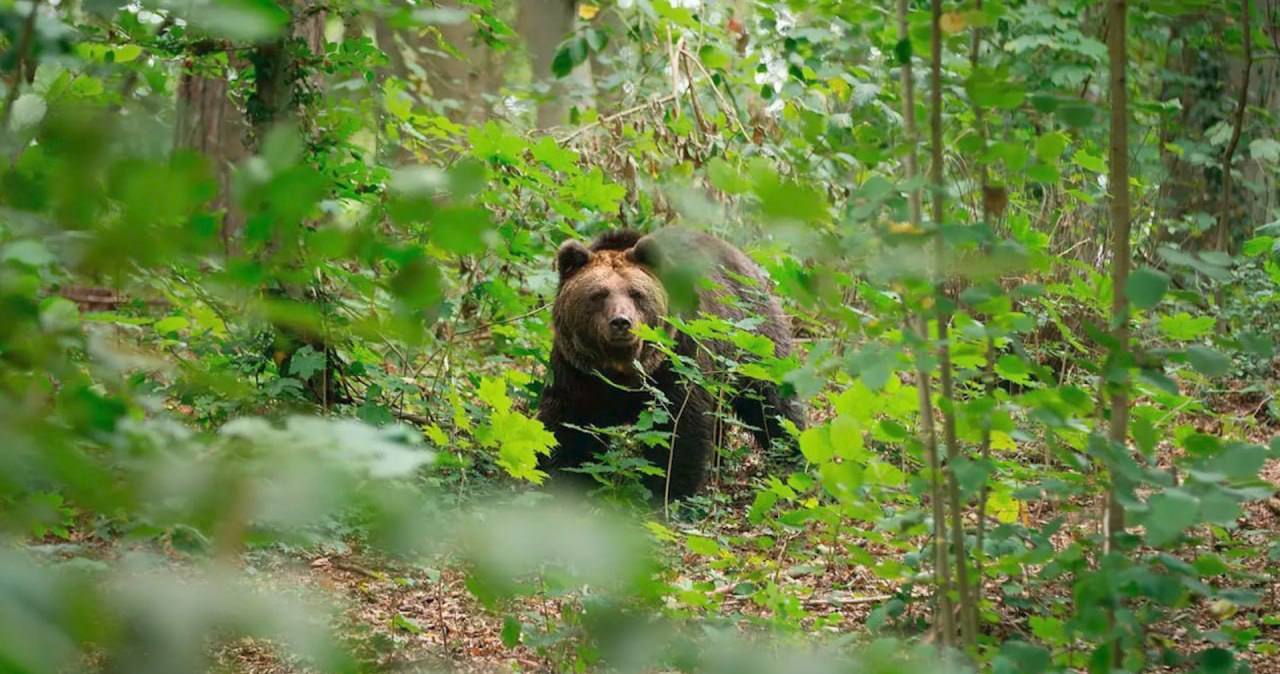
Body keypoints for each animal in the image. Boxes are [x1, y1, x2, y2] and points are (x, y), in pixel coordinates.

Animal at [535, 228, 805, 502]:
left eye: (636, 293)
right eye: (598, 294)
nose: (621, 322)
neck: (621, 370)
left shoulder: (677, 361)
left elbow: (679, 432)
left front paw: (667, 492)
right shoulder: (578, 373)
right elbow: (567, 430)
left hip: (752, 338)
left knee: (773, 403)